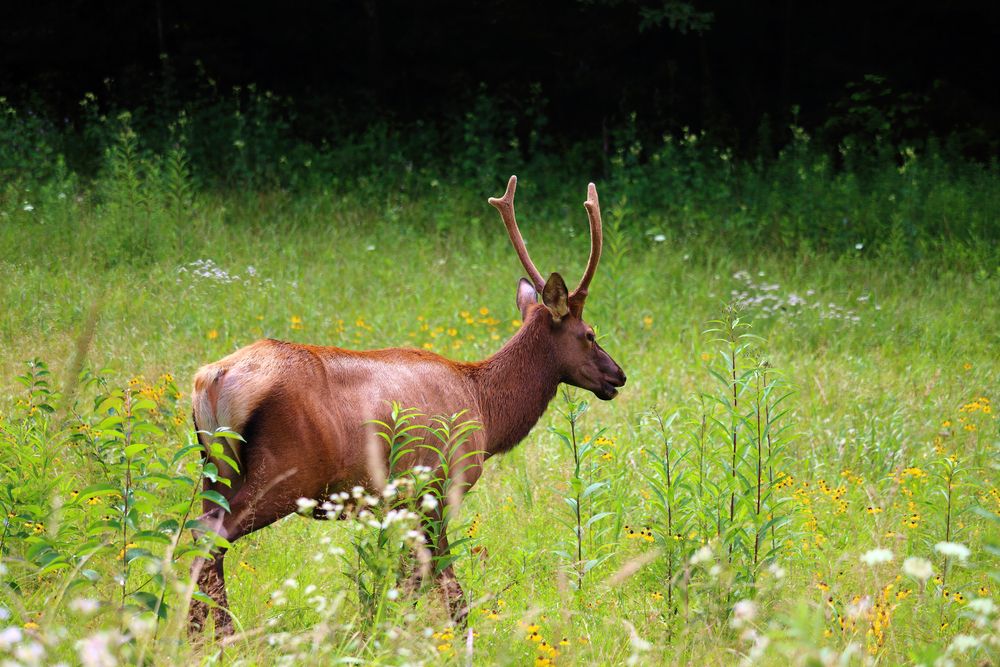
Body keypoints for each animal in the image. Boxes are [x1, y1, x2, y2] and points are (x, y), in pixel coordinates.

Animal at [187, 175, 626, 636]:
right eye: (590, 334)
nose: (618, 375)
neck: (487, 411)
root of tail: (211, 380)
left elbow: (406, 578)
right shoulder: (439, 486)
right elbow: (442, 583)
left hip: (215, 468)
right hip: (284, 472)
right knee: (209, 536)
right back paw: (219, 636)